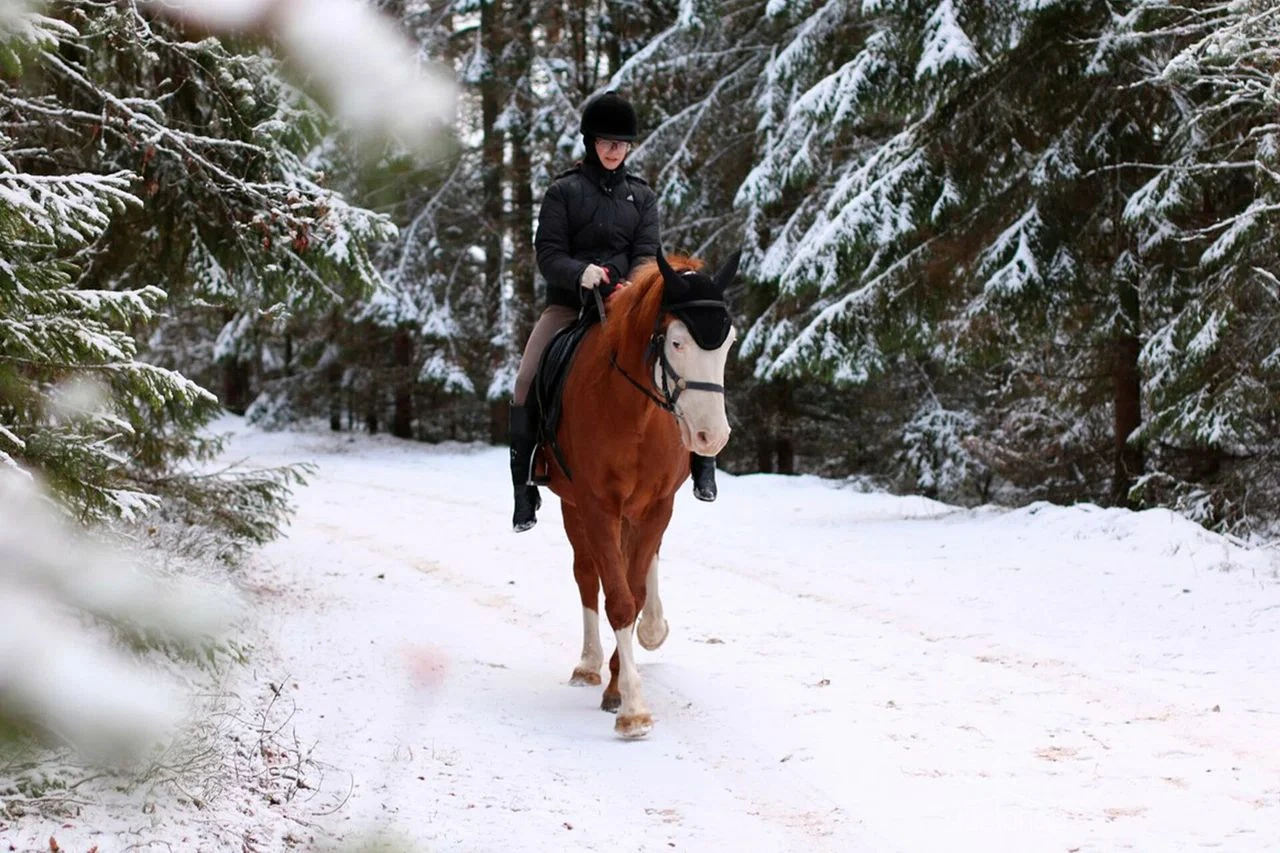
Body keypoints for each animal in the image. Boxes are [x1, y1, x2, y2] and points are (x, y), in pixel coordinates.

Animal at [540, 247, 742, 737]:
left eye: (728, 343)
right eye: (677, 342)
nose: (712, 437)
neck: (634, 412)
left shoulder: (657, 507)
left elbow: (632, 589)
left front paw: (620, 686)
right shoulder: (596, 506)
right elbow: (616, 598)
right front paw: (632, 707)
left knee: (642, 563)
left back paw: (651, 629)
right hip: (574, 507)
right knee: (586, 575)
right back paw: (588, 664)